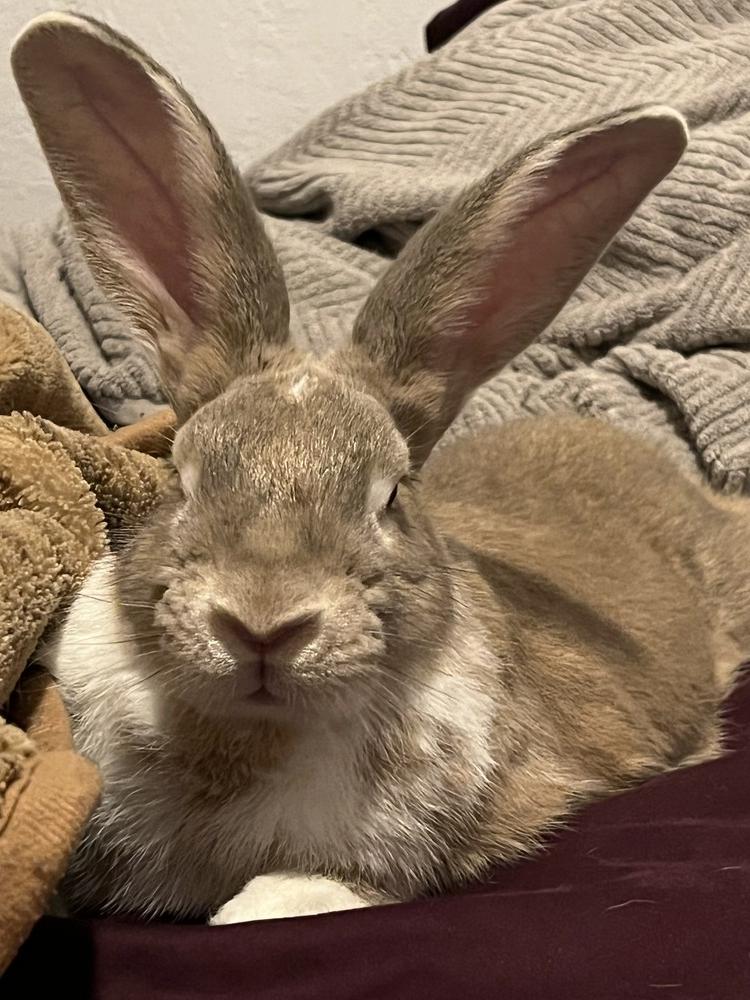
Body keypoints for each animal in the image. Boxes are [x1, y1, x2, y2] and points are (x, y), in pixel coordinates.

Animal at [14, 11, 750, 925]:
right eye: (182, 477)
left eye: (391, 494)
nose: (263, 623)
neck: (251, 736)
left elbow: (287, 896)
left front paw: (248, 908)